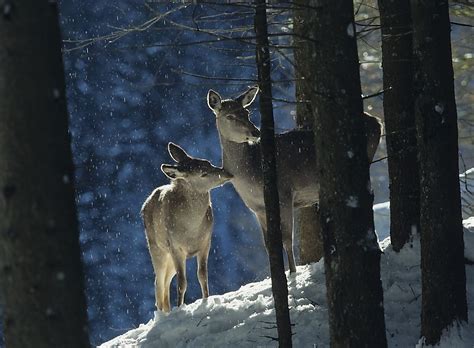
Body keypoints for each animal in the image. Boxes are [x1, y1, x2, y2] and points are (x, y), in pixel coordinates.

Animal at [142, 143, 232, 312]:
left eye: (209, 163)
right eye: (203, 173)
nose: (227, 173)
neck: (191, 230)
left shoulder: (206, 243)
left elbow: (202, 276)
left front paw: (206, 301)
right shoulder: (176, 248)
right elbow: (182, 282)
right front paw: (181, 307)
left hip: (169, 258)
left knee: (165, 282)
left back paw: (168, 310)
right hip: (157, 248)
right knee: (158, 283)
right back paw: (162, 313)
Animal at [206, 86, 382, 272]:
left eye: (246, 112)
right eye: (229, 116)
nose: (256, 132)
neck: (251, 175)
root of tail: (378, 122)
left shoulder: (284, 194)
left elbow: (287, 240)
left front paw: (292, 272)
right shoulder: (257, 209)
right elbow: (268, 245)